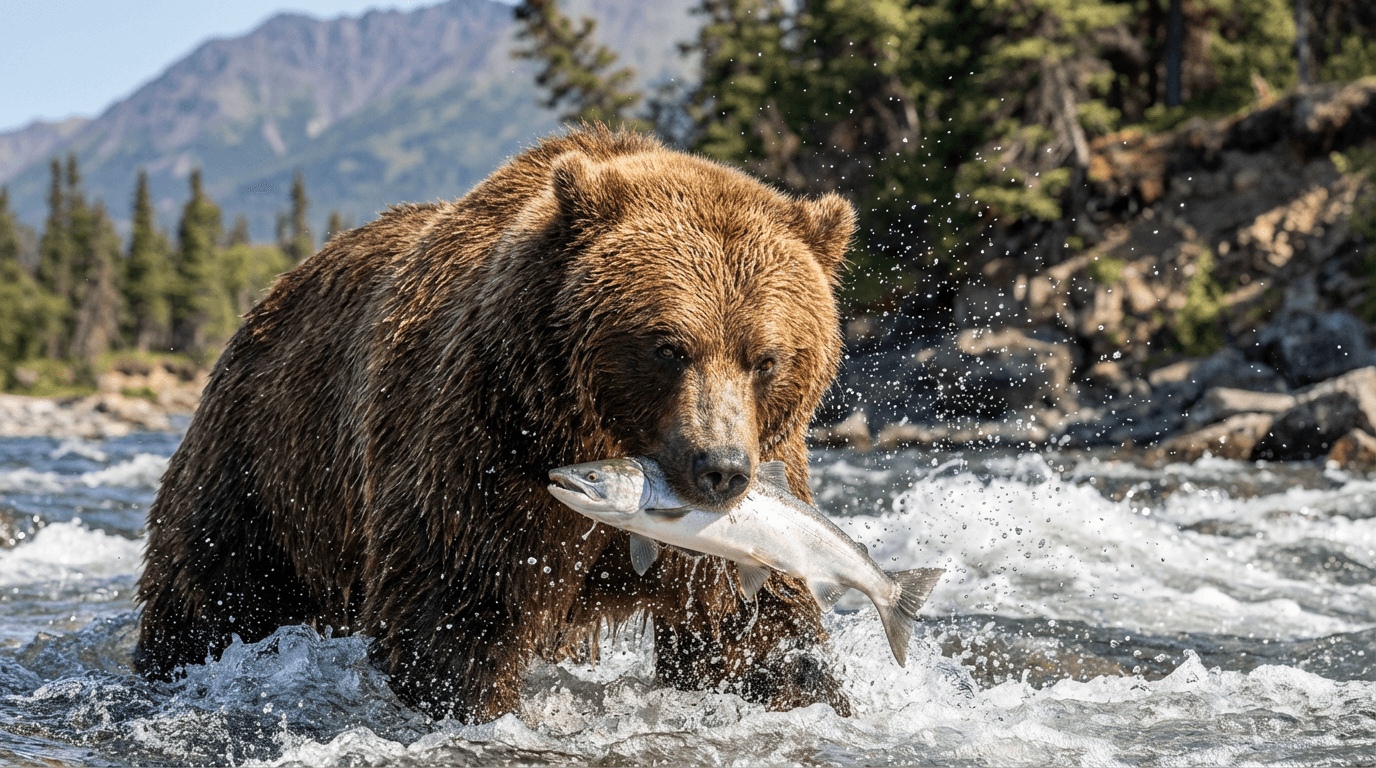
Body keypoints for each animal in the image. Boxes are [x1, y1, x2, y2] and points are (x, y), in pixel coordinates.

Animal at [135, 126, 857, 721]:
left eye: (766, 358)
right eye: (669, 347)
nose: (721, 470)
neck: (588, 428)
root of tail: (273, 294)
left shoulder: (750, 511)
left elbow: (755, 625)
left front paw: (801, 690)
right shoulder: (486, 442)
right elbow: (461, 605)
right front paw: (473, 703)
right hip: (269, 464)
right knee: (209, 589)